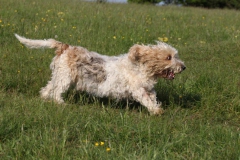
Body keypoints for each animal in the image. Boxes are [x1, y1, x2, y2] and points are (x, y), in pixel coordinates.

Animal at [15, 34, 186, 115]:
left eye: (175, 55)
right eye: (168, 57)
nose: (183, 67)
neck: (140, 68)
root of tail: (66, 47)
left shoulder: (149, 89)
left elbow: (153, 97)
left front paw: (157, 108)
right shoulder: (137, 90)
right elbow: (146, 100)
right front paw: (156, 111)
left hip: (60, 75)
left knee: (48, 87)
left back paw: (44, 98)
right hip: (65, 78)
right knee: (56, 92)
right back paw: (60, 104)